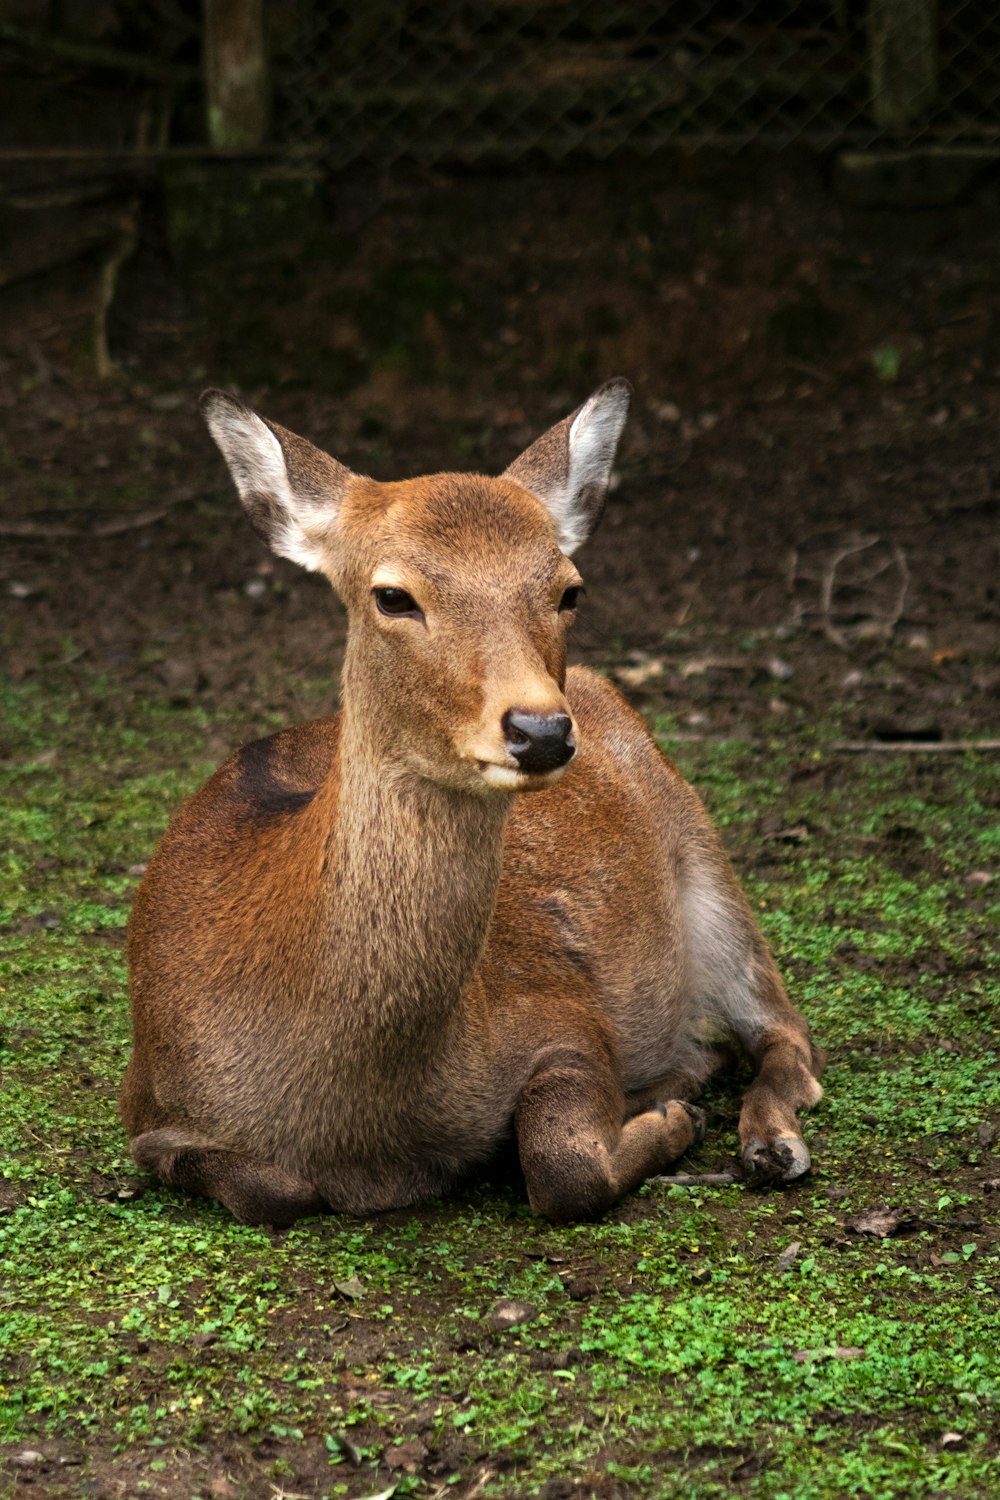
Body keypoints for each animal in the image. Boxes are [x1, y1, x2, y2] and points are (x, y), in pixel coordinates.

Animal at [119, 384, 821, 1230]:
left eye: (569, 589)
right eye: (392, 596)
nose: (541, 729)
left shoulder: (561, 1014)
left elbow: (563, 1165)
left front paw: (671, 1115)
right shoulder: (148, 1102)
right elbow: (270, 1190)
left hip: (707, 862)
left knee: (786, 1031)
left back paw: (767, 1141)